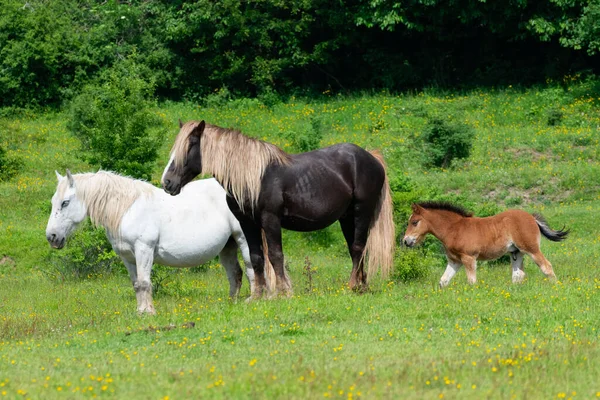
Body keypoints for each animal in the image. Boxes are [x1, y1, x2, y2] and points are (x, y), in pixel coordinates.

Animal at [45, 170, 255, 314]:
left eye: (65, 202)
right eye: (53, 201)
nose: (51, 237)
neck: (127, 210)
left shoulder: (143, 250)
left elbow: (145, 282)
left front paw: (149, 312)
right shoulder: (128, 258)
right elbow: (136, 284)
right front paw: (140, 311)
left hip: (243, 239)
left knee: (252, 268)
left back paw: (254, 299)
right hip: (228, 246)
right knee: (235, 273)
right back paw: (232, 303)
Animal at [162, 119, 396, 296]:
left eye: (191, 144)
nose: (167, 182)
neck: (254, 177)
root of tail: (371, 158)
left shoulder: (270, 219)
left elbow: (275, 255)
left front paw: (283, 292)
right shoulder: (247, 223)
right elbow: (256, 257)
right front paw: (258, 295)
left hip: (361, 212)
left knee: (357, 247)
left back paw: (352, 285)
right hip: (346, 217)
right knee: (357, 249)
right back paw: (362, 286)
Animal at [404, 203, 568, 288]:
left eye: (414, 222)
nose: (406, 241)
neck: (454, 229)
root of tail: (532, 218)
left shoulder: (469, 258)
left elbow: (472, 281)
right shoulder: (454, 261)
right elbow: (443, 281)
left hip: (531, 249)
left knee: (546, 267)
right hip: (516, 252)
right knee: (518, 275)